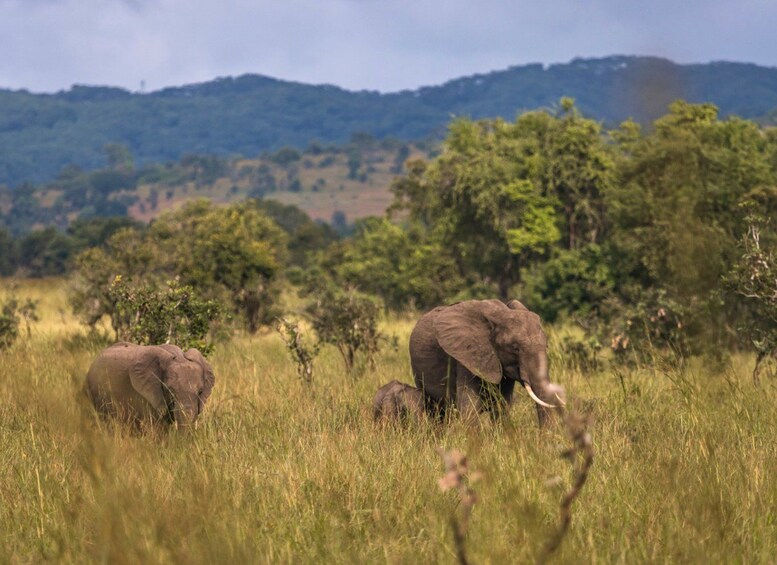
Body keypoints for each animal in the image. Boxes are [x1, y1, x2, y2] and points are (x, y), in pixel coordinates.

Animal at [409, 299, 565, 426]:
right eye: (515, 348)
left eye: (547, 346)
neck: (499, 316)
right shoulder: (467, 357)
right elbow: (470, 408)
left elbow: (502, 407)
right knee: (437, 412)